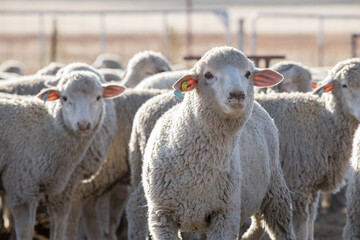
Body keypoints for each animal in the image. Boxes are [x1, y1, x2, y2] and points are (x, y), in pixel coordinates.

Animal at [0, 68, 125, 239]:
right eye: (64, 98)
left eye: (99, 97)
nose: (83, 124)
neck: (47, 128)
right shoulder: (22, 187)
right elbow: (26, 230)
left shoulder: (59, 189)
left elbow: (59, 226)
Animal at [126, 46, 296, 240]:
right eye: (208, 75)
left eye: (248, 74)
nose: (237, 94)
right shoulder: (162, 217)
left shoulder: (225, 216)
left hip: (275, 192)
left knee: (276, 226)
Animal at [252, 58, 360, 240]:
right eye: (344, 85)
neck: (323, 119)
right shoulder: (299, 185)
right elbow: (302, 227)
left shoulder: (312, 186)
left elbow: (310, 222)